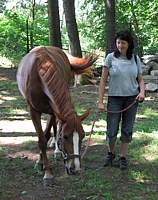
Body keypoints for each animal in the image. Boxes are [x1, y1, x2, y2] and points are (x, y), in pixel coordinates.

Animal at [16, 45, 97, 186]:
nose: (75, 168)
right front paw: (46, 171)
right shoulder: (33, 111)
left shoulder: (54, 110)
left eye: (83, 136)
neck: (39, 72)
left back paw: (56, 150)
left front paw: (46, 162)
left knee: (56, 125)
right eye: (65, 137)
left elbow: (48, 134)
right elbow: (42, 139)